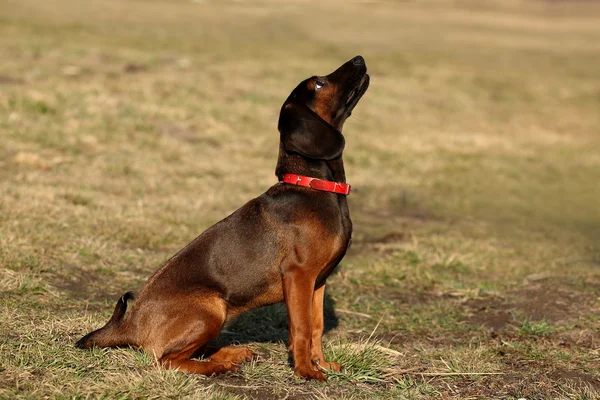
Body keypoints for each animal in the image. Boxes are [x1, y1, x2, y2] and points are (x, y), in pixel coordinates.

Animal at [77, 54, 368, 380]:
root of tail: (130, 326)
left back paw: (233, 353)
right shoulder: (299, 275)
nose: (359, 58)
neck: (313, 186)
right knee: (166, 360)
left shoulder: (317, 282)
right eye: (319, 83)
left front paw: (321, 363)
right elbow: (301, 328)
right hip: (211, 308)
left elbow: (316, 326)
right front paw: (306, 370)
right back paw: (219, 365)